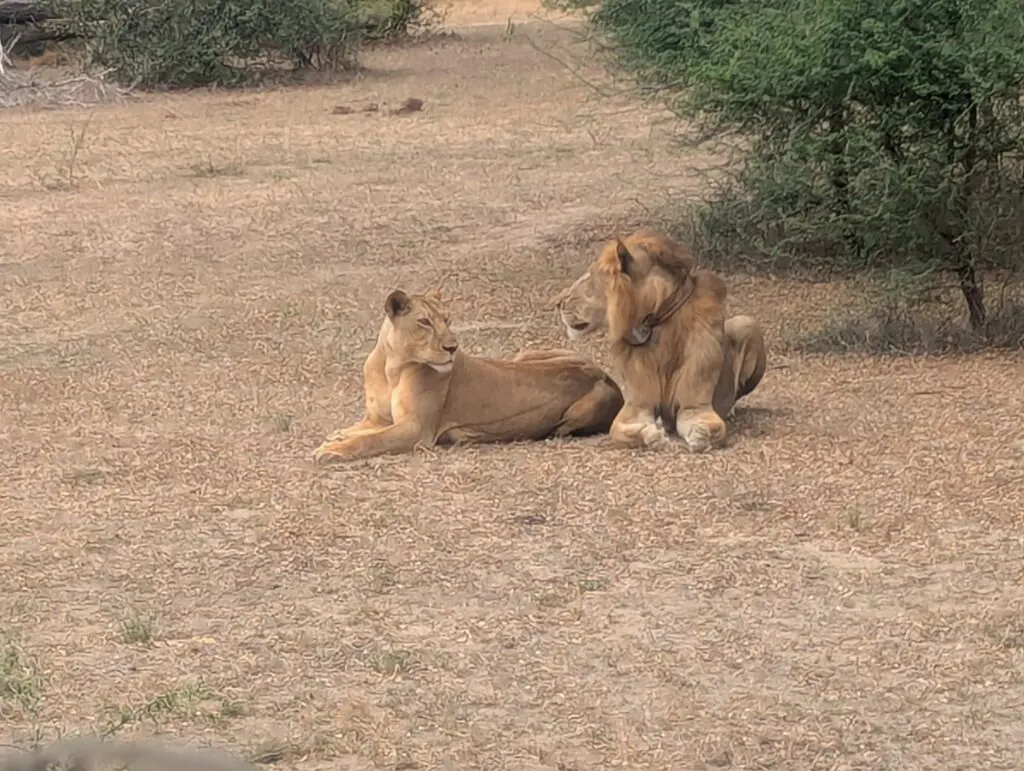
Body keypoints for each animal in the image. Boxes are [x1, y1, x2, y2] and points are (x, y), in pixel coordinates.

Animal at [313, 289, 625, 464]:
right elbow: (359, 430)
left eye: (447, 319)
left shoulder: (416, 429)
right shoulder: (378, 418)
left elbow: (370, 440)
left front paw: (332, 451)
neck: (392, 366)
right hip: (525, 354)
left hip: (583, 406)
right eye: (424, 322)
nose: (452, 347)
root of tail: (604, 374)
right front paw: (333, 438)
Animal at [553, 229, 767, 452]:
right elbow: (619, 431)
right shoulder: (637, 405)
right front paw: (651, 435)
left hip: (746, 323)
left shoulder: (694, 407)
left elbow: (715, 427)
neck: (656, 327)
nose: (556, 303)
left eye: (591, 277)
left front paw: (701, 436)